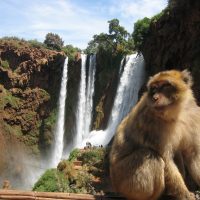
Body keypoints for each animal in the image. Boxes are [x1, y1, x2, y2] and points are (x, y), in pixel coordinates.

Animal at [109, 70, 200, 200]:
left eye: (165, 86)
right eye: (154, 89)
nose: (155, 97)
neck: (176, 113)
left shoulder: (193, 116)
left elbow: (193, 155)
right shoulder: (151, 125)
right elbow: (166, 159)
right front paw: (184, 194)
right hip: (124, 180)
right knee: (151, 156)